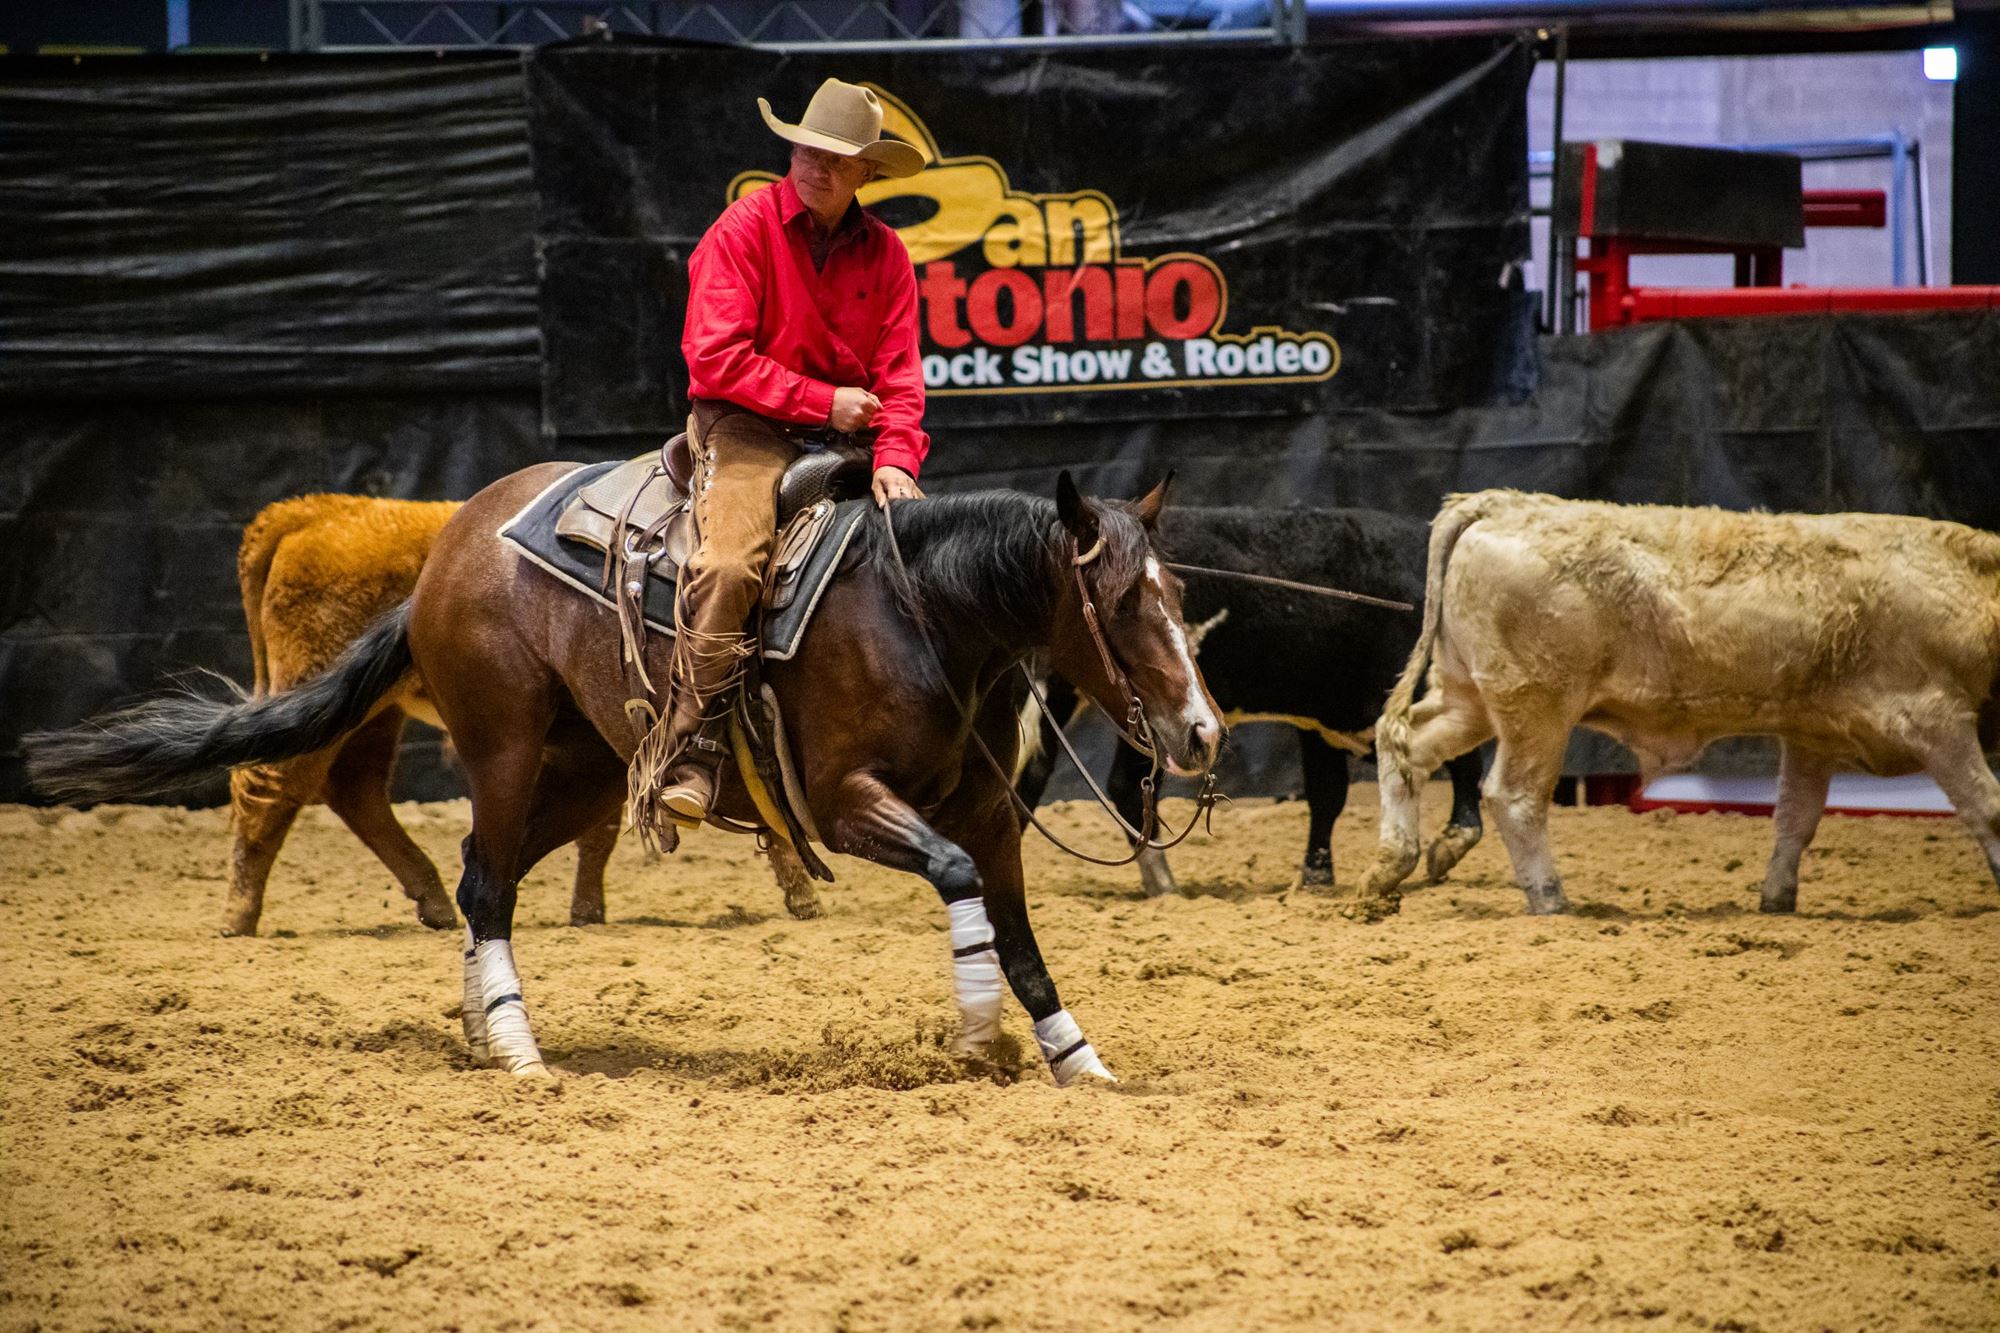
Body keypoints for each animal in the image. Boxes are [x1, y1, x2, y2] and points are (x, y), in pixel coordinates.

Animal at [27, 464, 1216, 1080]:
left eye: (1175, 588)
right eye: (1119, 600)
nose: (1202, 732)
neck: (916, 613)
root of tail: (444, 553)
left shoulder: (988, 809)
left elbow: (1018, 935)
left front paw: (1076, 1060)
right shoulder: (845, 804)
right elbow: (961, 888)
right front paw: (972, 1036)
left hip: (584, 769)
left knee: (481, 872)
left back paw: (477, 1022)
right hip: (504, 742)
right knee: (471, 874)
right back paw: (514, 1046)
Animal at [1016, 504, 1488, 896]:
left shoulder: (1320, 720)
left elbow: (1327, 793)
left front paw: (1315, 876)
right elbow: (1461, 760)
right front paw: (1451, 843)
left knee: (1033, 775)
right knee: (1123, 784)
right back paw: (1165, 884)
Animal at [1360, 488, 2000, 912]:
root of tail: (1502, 503)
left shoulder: (1810, 734)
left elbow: (1795, 819)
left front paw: (1777, 900)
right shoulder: (1936, 716)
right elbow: (1987, 806)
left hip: (1468, 696)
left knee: (1406, 746)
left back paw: (1391, 866)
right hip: (1536, 706)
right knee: (1514, 796)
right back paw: (1550, 898)